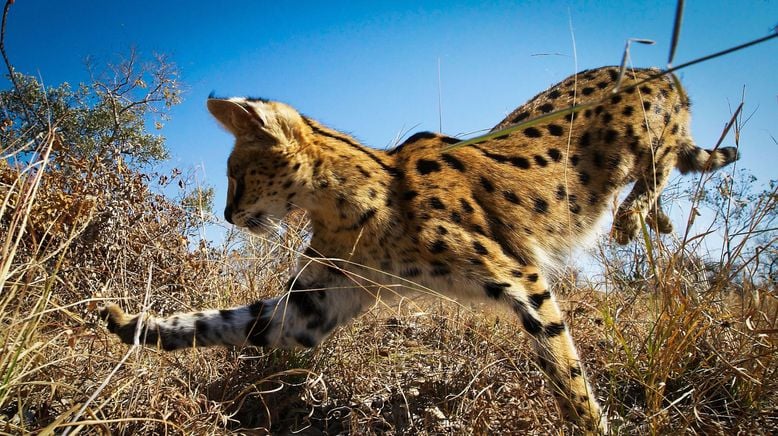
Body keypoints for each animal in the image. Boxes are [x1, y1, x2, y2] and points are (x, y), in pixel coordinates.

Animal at [103, 65, 740, 432]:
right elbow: (225, 321)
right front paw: (135, 326)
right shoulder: (312, 305)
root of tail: (663, 71)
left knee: (665, 156)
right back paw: (656, 218)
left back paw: (636, 216)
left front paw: (591, 425)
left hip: (640, 136)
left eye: (237, 176)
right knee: (680, 160)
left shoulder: (523, 276)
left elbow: (566, 370)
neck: (354, 208)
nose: (227, 215)